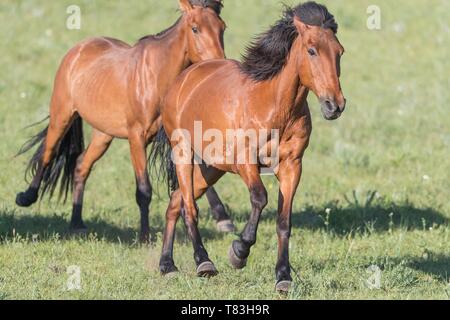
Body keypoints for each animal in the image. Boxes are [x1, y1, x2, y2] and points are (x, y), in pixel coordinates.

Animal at [14, 0, 236, 241]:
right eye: (195, 29)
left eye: (222, 27)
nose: (219, 65)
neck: (157, 75)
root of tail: (79, 49)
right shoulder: (136, 137)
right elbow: (144, 190)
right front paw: (144, 237)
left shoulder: (175, 136)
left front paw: (223, 219)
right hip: (62, 114)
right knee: (49, 151)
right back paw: (26, 197)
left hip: (103, 134)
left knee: (81, 165)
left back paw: (77, 223)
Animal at [153, 1, 346, 292]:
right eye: (312, 50)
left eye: (339, 52)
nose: (334, 105)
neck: (274, 107)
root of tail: (183, 79)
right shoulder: (245, 162)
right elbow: (260, 198)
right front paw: (239, 252)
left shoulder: (292, 166)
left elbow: (284, 222)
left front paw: (283, 277)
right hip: (183, 153)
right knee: (188, 207)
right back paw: (203, 262)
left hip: (211, 168)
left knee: (175, 202)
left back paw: (167, 266)